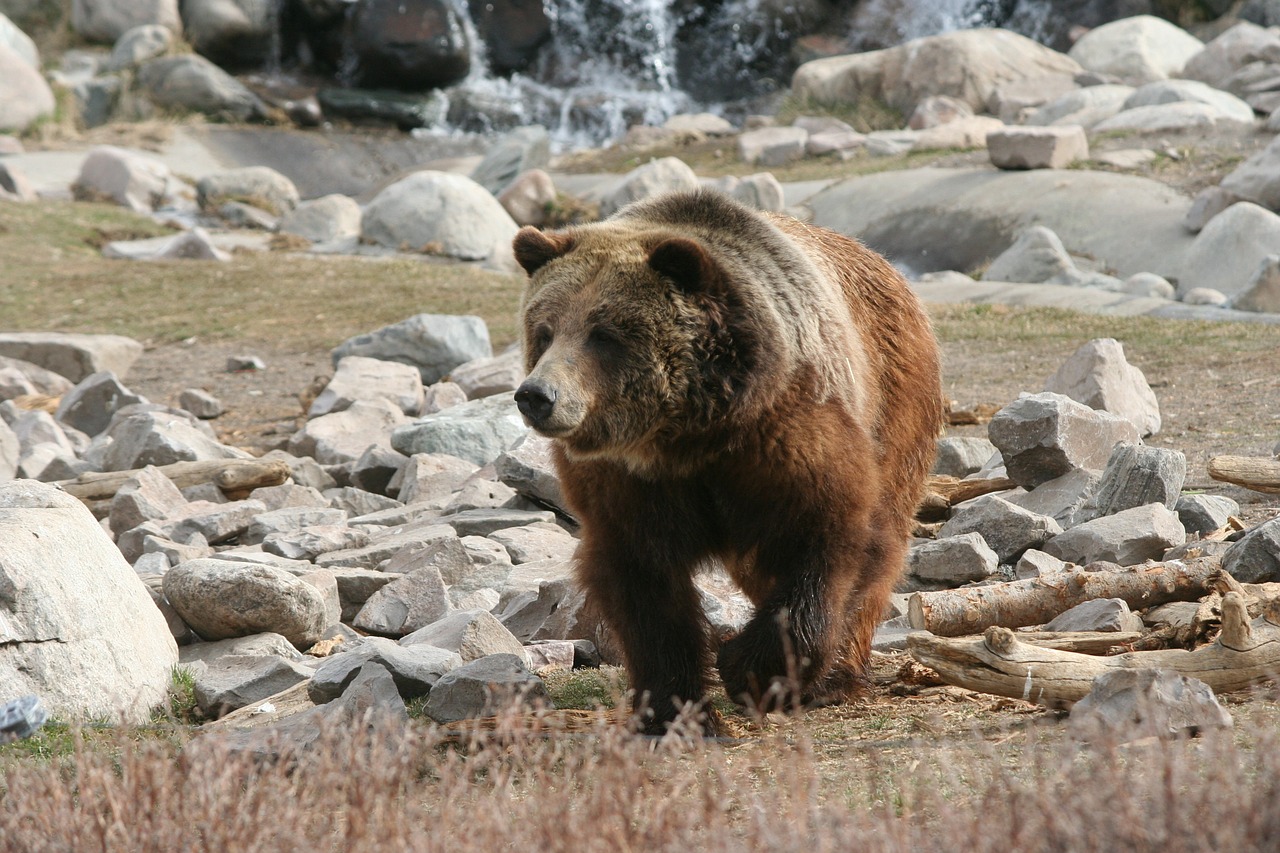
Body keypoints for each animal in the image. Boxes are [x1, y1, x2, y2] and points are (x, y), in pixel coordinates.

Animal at [509, 188, 942, 732]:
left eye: (603, 333)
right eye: (544, 331)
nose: (536, 395)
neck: (689, 436)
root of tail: (885, 265)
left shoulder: (786, 437)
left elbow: (828, 538)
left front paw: (751, 670)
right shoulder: (627, 483)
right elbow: (644, 584)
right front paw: (675, 709)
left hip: (894, 397)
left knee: (881, 538)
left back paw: (838, 676)